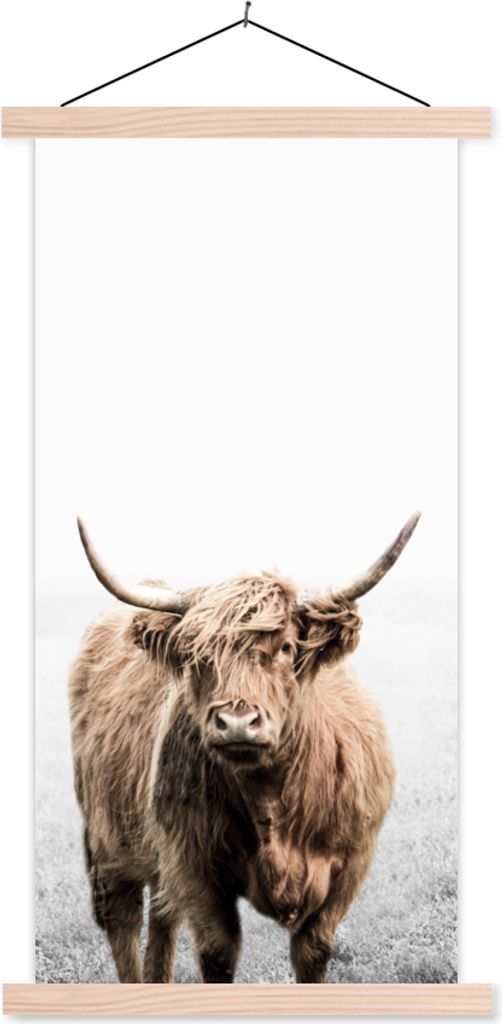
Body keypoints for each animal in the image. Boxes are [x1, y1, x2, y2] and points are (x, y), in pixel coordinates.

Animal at [69, 513, 420, 984]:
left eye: (286, 647)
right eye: (198, 656)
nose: (237, 721)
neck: (272, 798)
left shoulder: (350, 865)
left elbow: (313, 952)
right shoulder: (195, 868)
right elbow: (217, 954)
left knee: (162, 916)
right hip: (106, 839)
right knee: (121, 919)